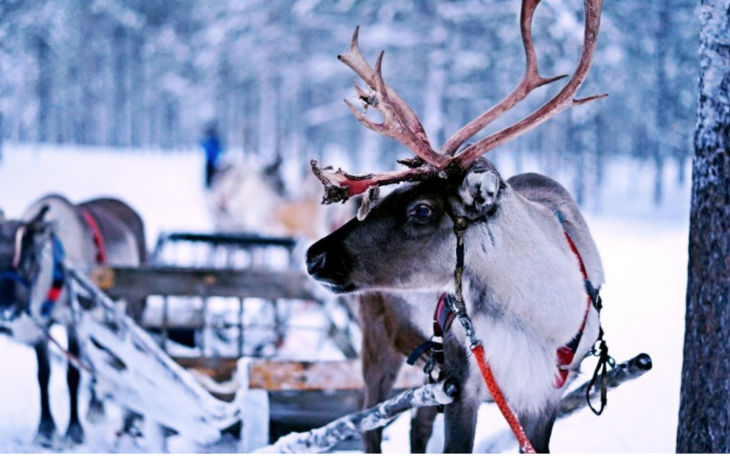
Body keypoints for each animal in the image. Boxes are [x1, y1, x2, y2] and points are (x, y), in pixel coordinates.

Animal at [305, 0, 606, 452]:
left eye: (421, 210)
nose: (314, 256)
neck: (536, 322)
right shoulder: (462, 382)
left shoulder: (545, 395)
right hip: (379, 346)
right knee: (369, 421)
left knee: (415, 424)